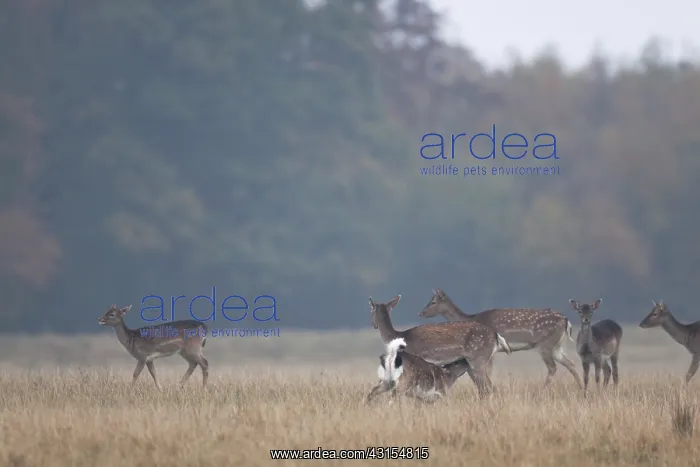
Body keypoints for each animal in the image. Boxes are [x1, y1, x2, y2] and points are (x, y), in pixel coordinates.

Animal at [368, 295, 512, 397]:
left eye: (371, 312)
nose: (373, 325)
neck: (399, 336)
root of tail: (496, 335)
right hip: (473, 362)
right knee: (483, 388)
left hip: (478, 358)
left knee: (488, 386)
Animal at [420, 288, 583, 389]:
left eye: (433, 302)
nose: (420, 313)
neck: (473, 318)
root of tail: (566, 321)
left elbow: (488, 370)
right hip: (557, 346)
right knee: (571, 364)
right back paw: (582, 390)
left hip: (545, 344)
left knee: (553, 367)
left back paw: (543, 392)